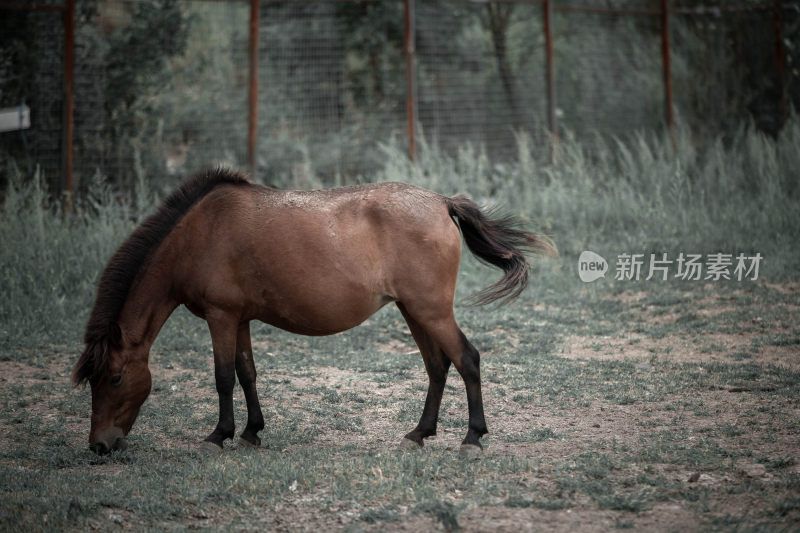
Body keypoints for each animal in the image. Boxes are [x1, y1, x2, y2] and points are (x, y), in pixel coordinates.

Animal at [72, 168, 552, 456]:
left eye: (114, 378)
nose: (100, 446)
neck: (200, 233)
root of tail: (441, 202)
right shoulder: (240, 318)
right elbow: (247, 373)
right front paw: (251, 432)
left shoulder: (221, 316)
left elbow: (223, 377)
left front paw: (219, 435)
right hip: (414, 311)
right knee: (437, 366)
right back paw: (420, 433)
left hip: (430, 311)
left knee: (466, 359)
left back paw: (472, 438)